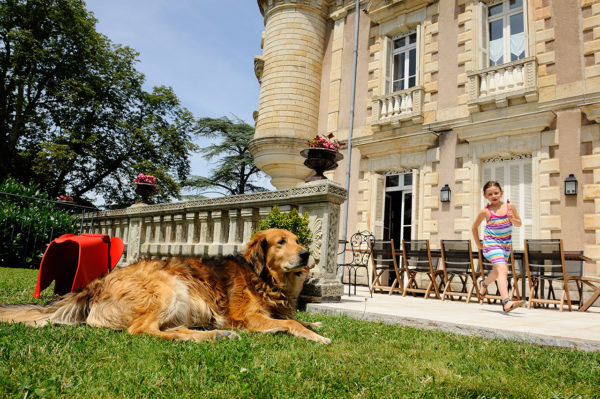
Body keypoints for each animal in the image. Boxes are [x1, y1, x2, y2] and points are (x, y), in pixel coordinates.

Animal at [0, 230, 330, 346]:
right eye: (281, 242)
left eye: (298, 240)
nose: (306, 254)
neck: (264, 277)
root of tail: (95, 284)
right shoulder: (246, 317)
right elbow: (290, 323)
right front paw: (316, 335)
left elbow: (296, 318)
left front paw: (313, 323)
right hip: (169, 288)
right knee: (143, 330)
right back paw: (210, 336)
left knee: (168, 330)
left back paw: (214, 334)